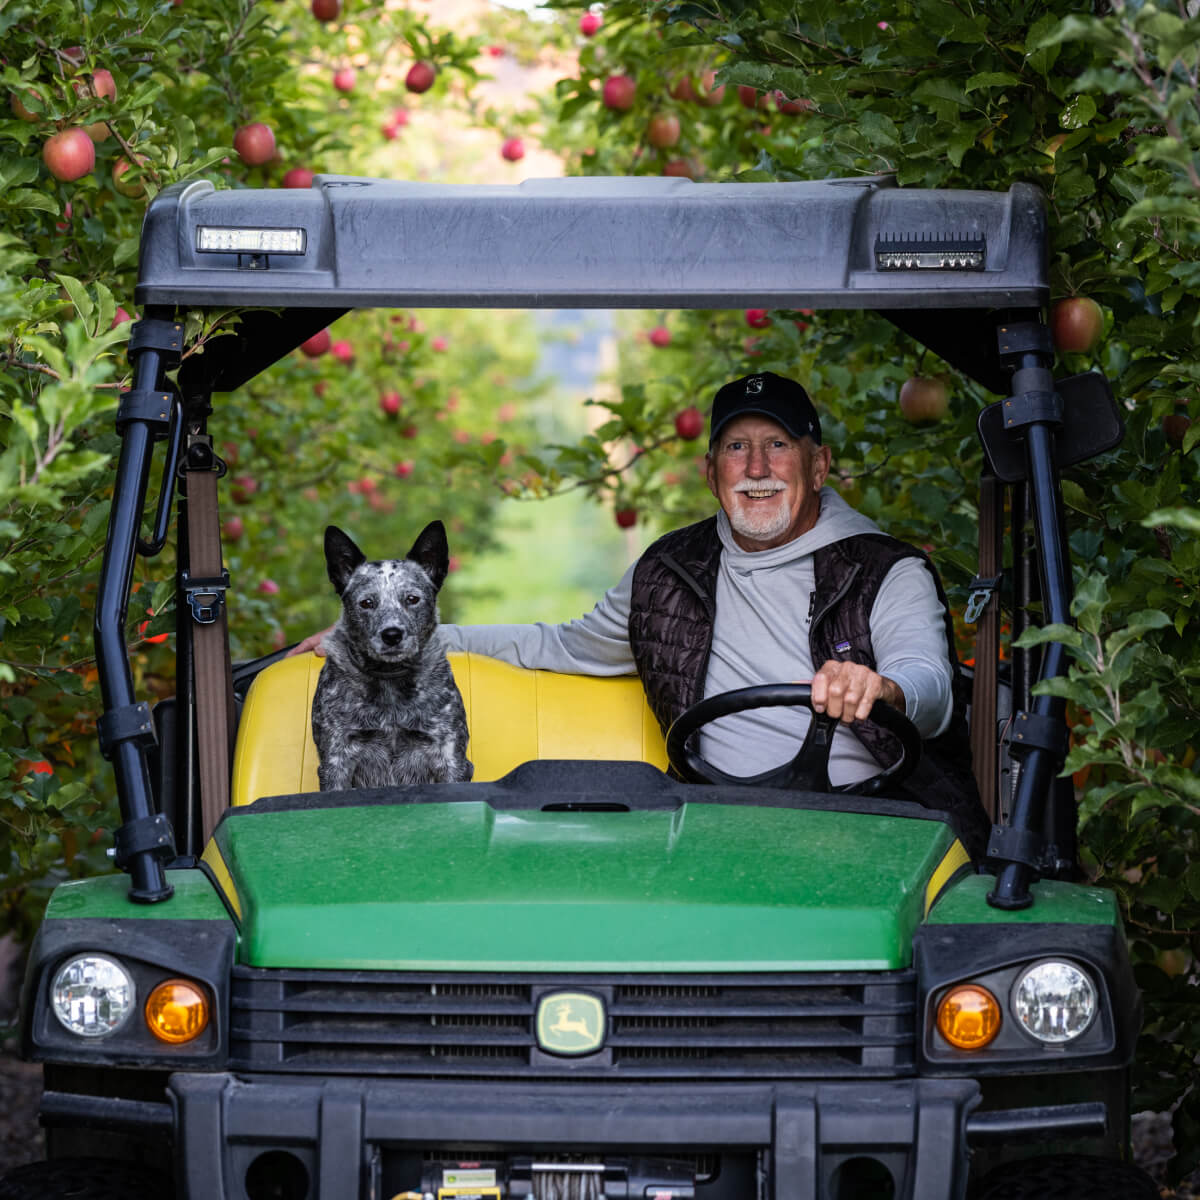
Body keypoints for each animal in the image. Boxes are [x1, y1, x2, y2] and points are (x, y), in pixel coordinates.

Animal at [312, 520, 470, 792]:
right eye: (366, 603)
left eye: (412, 599)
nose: (392, 635)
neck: (390, 680)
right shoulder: (336, 759)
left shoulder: (449, 756)